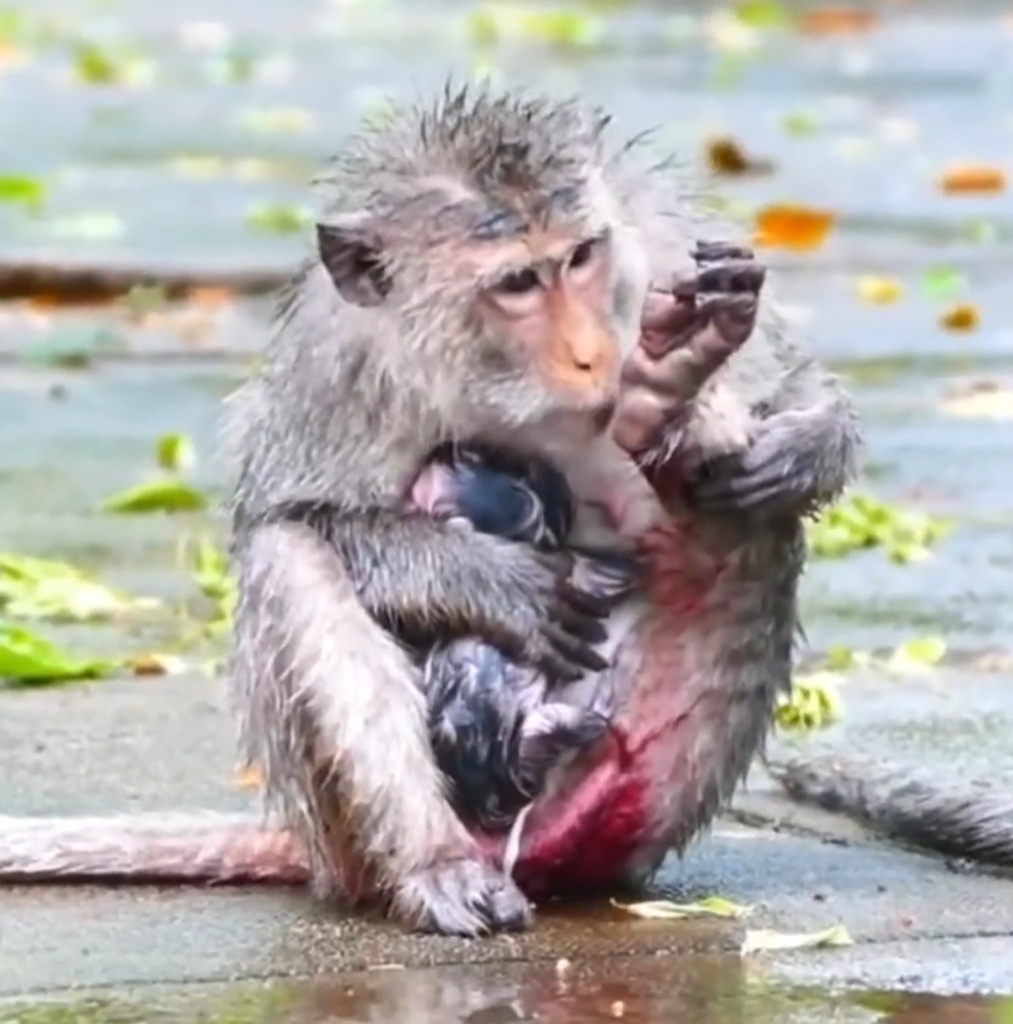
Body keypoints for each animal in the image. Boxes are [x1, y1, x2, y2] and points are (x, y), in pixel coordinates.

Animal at [0, 85, 863, 936]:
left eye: (581, 256)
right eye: (517, 283)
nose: (592, 354)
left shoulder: (658, 239)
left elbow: (792, 395)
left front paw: (803, 442)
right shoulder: (338, 360)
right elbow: (287, 516)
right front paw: (495, 580)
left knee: (750, 522)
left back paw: (675, 394)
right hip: (348, 835)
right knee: (292, 559)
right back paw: (437, 862)